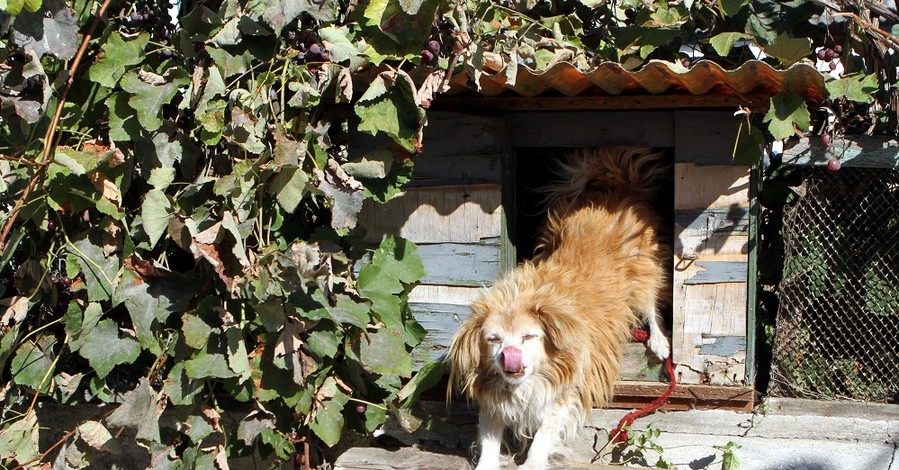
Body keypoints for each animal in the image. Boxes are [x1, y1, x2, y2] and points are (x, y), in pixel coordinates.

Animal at [446, 145, 672, 468]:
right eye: (493, 340)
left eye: (529, 337)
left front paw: (532, 463)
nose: (509, 358)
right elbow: (489, 441)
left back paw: (659, 341)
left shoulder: (565, 393)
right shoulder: (494, 400)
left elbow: (542, 435)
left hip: (644, 273)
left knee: (652, 305)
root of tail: (613, 187)